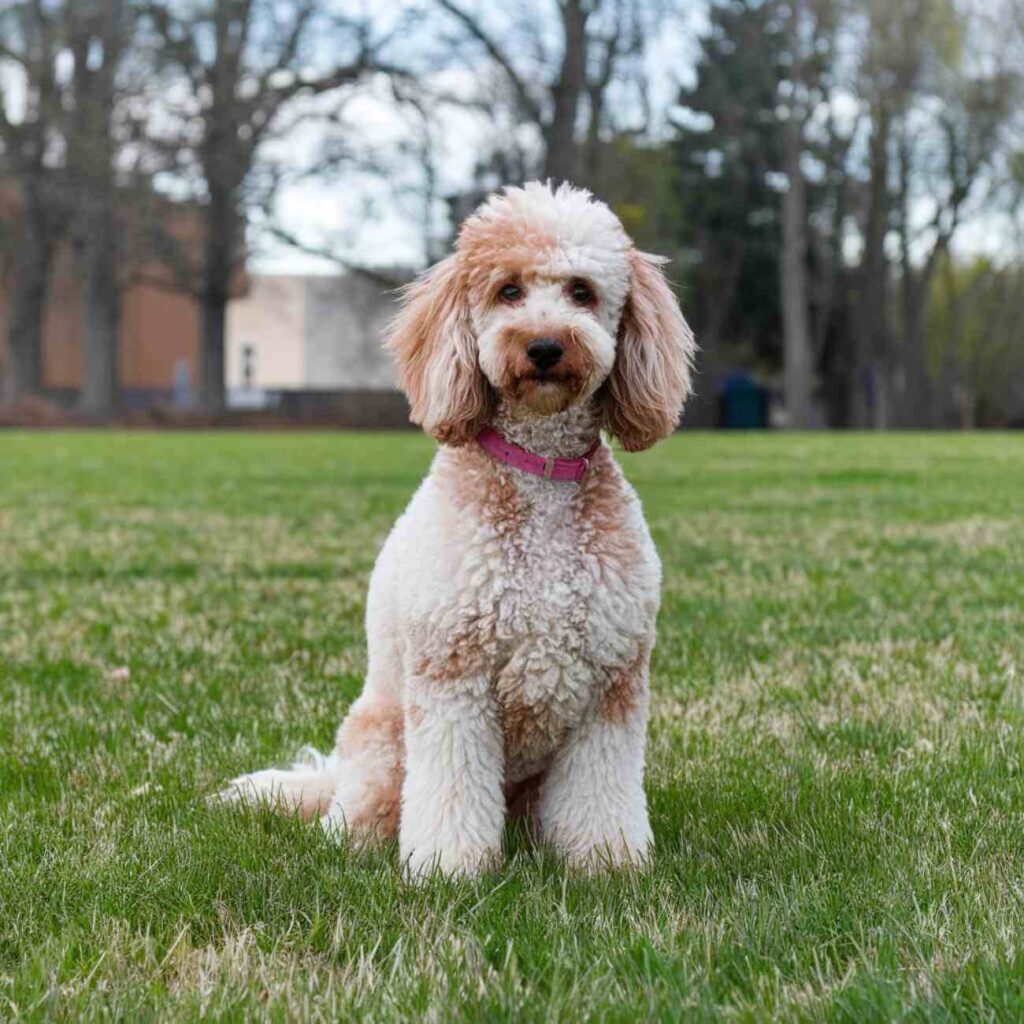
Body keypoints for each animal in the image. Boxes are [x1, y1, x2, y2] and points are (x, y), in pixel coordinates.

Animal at [223, 180, 696, 876]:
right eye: (508, 291)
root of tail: (332, 777)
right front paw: (449, 870)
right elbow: (451, 787)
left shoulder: (611, 683)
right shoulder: (454, 677)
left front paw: (607, 864)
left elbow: (601, 792)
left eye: (581, 291)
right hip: (384, 743)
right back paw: (358, 841)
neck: (539, 469)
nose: (545, 346)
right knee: (356, 817)